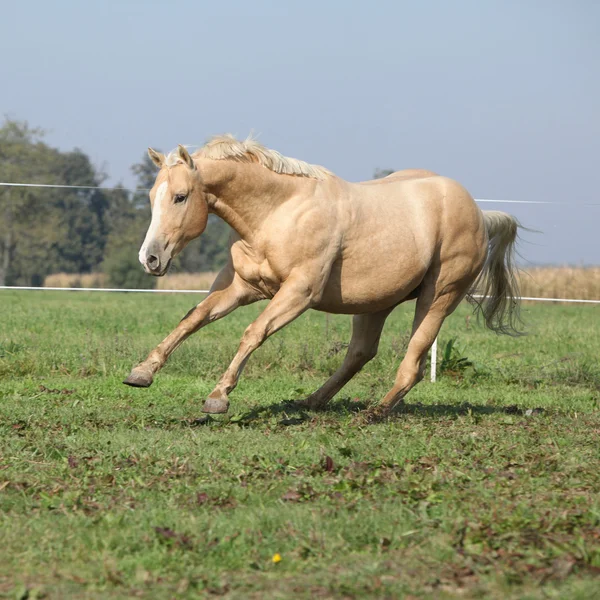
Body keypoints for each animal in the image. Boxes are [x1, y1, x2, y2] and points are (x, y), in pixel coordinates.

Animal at [125, 137, 520, 420]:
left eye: (180, 197)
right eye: (152, 196)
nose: (150, 258)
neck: (277, 213)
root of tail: (480, 214)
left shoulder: (299, 293)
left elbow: (253, 332)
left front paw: (217, 398)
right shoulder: (241, 288)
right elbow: (192, 319)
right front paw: (141, 373)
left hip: (438, 298)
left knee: (414, 364)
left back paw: (375, 412)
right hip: (376, 302)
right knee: (360, 353)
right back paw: (310, 402)